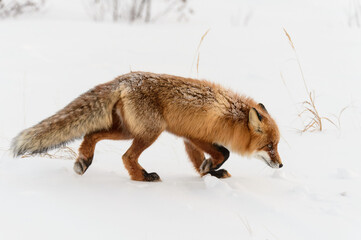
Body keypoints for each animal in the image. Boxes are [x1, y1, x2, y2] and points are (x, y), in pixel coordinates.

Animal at [10, 72, 282, 181]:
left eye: (276, 146)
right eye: (269, 146)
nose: (281, 164)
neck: (231, 115)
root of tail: (124, 79)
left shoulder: (188, 138)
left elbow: (200, 163)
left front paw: (209, 173)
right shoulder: (197, 135)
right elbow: (223, 153)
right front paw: (211, 169)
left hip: (127, 130)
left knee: (91, 134)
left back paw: (84, 161)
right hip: (150, 132)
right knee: (126, 156)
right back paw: (142, 177)